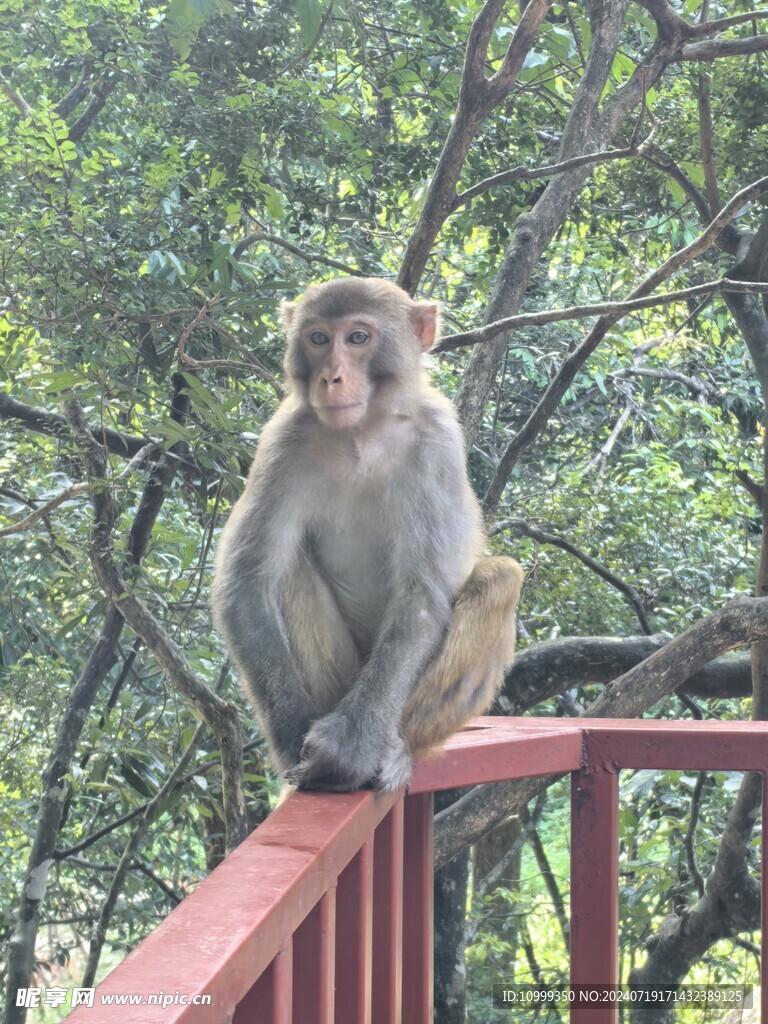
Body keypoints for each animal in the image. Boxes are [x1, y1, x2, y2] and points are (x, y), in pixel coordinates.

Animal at [210, 278, 524, 790]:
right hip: (340, 682)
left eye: (358, 338)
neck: (362, 432)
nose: (331, 377)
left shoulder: (437, 442)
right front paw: (292, 738)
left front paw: (348, 749)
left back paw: (397, 748)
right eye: (318, 339)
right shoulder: (282, 442)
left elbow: (421, 597)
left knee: (502, 577)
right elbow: (247, 586)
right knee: (290, 570)